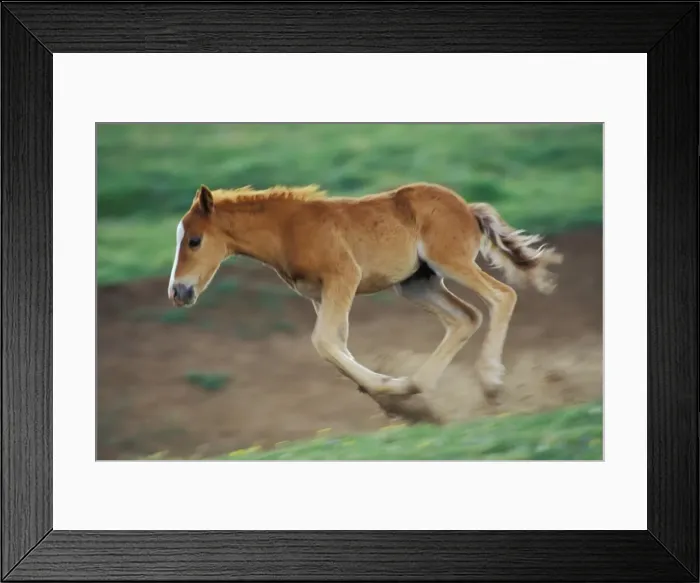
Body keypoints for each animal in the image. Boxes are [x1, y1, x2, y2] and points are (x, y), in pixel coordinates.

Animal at [167, 182, 563, 424]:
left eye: (195, 241)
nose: (178, 292)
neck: (287, 228)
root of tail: (467, 208)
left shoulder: (344, 277)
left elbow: (324, 341)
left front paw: (386, 389)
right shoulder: (320, 294)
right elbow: (336, 345)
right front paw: (397, 402)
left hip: (450, 261)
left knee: (501, 296)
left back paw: (491, 383)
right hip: (415, 284)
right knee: (465, 317)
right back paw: (415, 388)